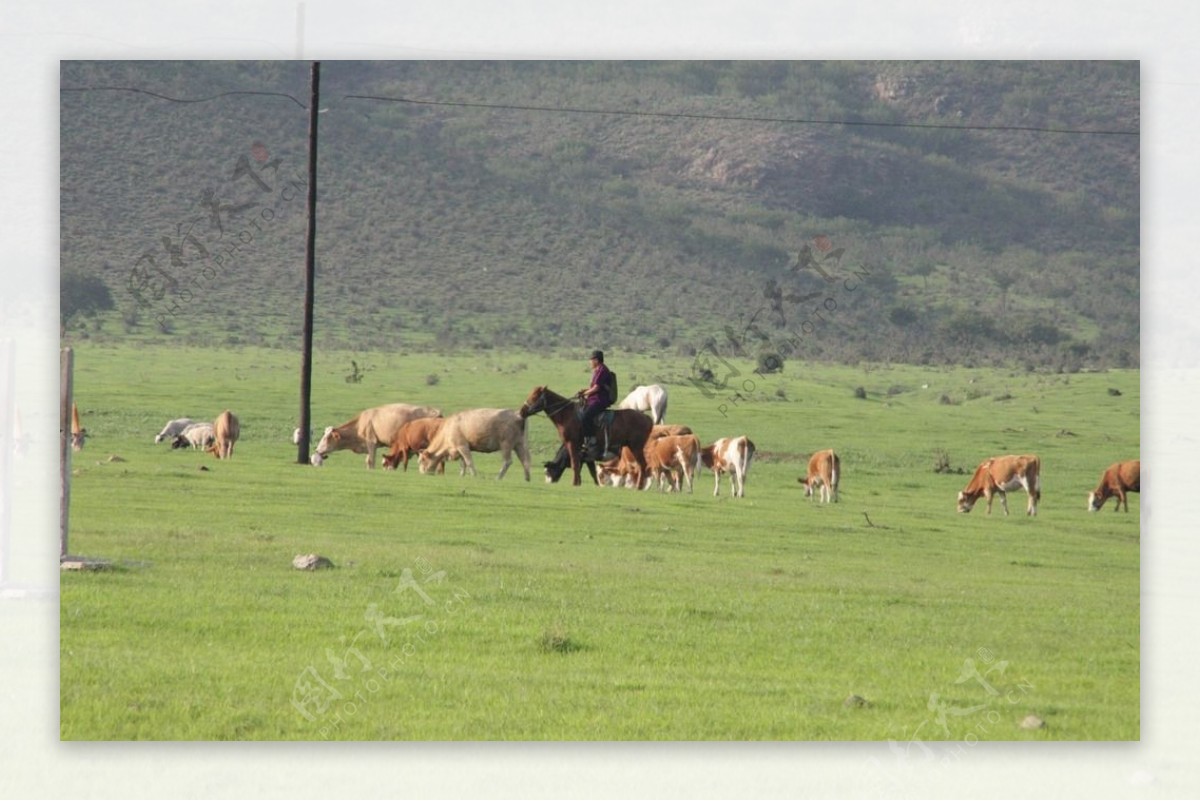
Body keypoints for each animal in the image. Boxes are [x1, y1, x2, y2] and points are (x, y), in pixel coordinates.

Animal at [312, 400, 444, 470]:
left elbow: (371, 461)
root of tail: (437, 412)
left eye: (327, 438)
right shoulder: (370, 445)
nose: (317, 450)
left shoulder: (371, 442)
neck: (359, 424)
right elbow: (368, 460)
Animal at [516, 383, 648, 484]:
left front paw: (575, 483)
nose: (522, 411)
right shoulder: (588, 458)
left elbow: (576, 465)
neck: (566, 415)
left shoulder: (574, 445)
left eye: (534, 396)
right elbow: (590, 473)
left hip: (635, 448)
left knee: (641, 466)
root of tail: (647, 419)